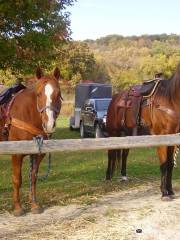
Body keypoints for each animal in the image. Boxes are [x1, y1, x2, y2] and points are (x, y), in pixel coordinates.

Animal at [0, 67, 62, 216]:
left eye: (58, 94)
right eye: (38, 94)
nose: (49, 125)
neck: (27, 114)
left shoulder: (38, 152)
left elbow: (33, 178)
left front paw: (34, 204)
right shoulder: (16, 153)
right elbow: (17, 179)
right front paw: (17, 208)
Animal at [105, 62, 180, 200]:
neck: (170, 100)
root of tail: (115, 98)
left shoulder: (172, 138)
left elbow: (170, 165)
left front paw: (170, 191)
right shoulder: (161, 137)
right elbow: (164, 164)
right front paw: (164, 193)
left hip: (128, 134)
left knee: (124, 154)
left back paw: (124, 176)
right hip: (113, 132)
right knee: (111, 153)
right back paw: (108, 176)